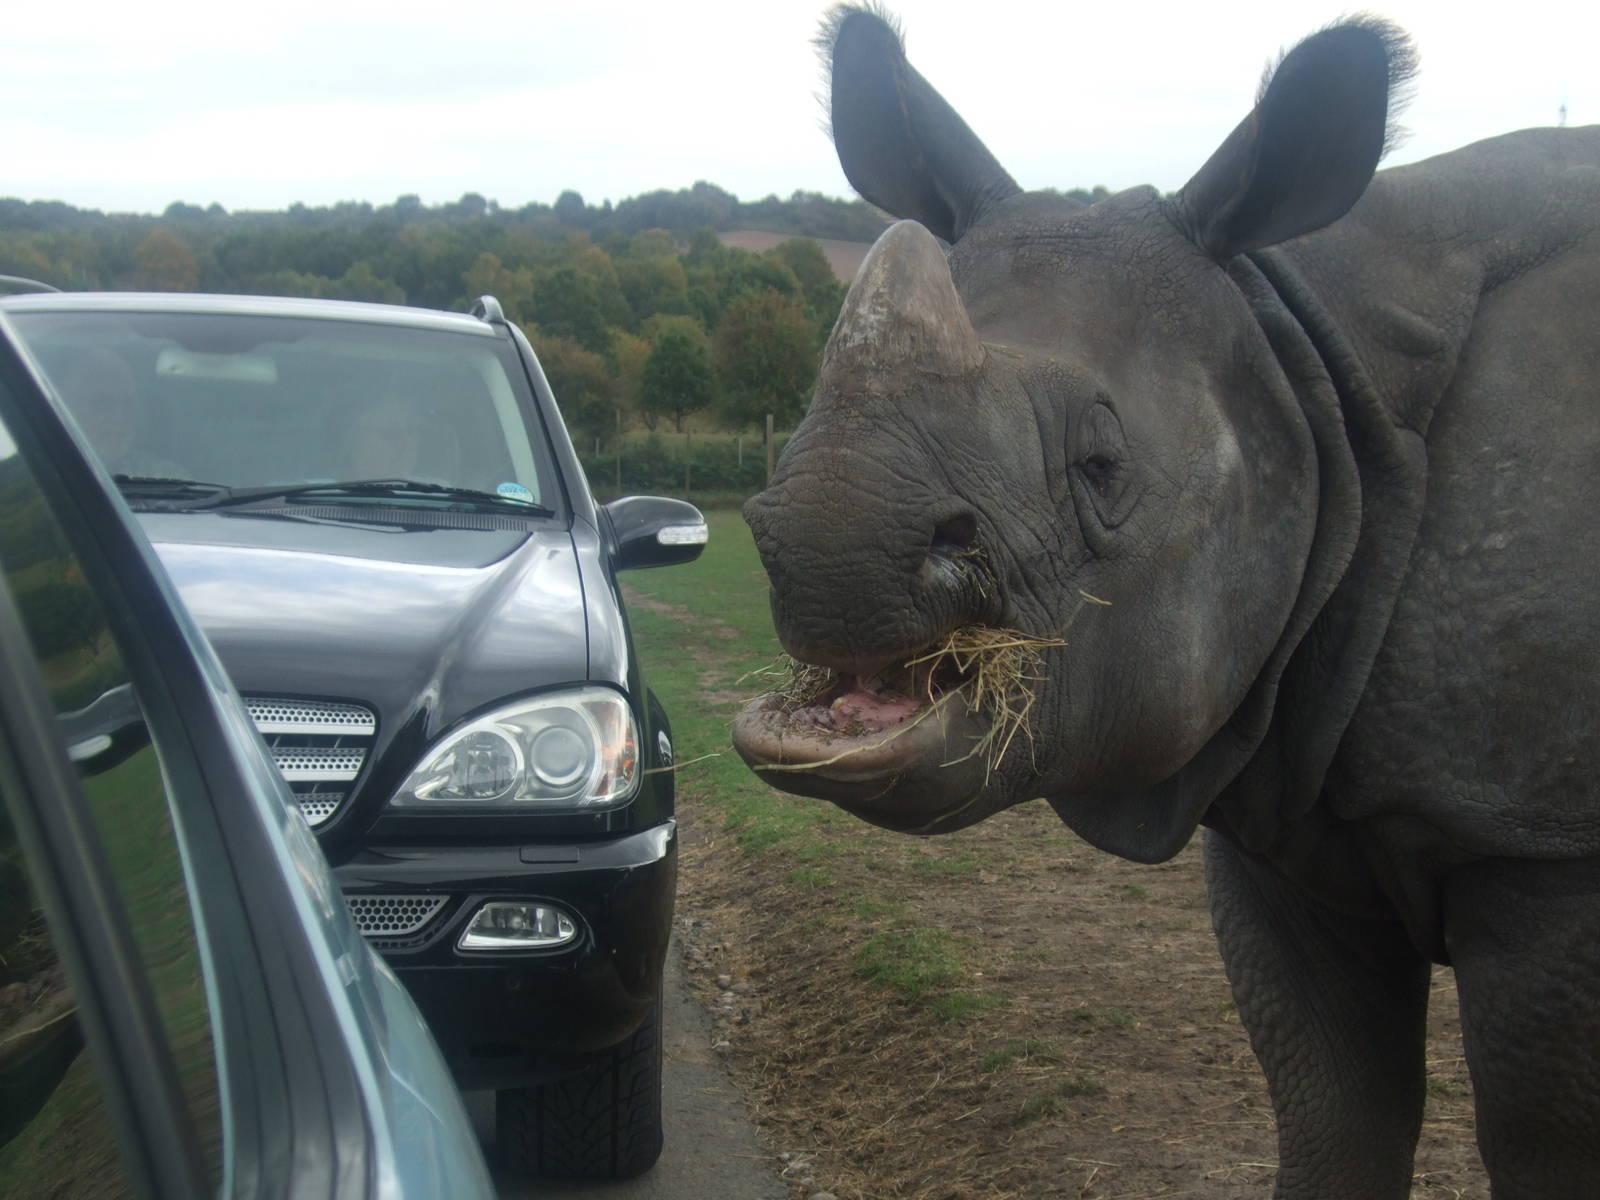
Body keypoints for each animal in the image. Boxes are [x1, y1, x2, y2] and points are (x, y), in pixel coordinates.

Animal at [731, 6, 1600, 1196]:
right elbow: (1335, 1105)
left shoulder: (1541, 844)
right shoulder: (1288, 798)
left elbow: (1543, 1140)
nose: (824, 546)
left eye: (1102, 468)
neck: (1310, 367)